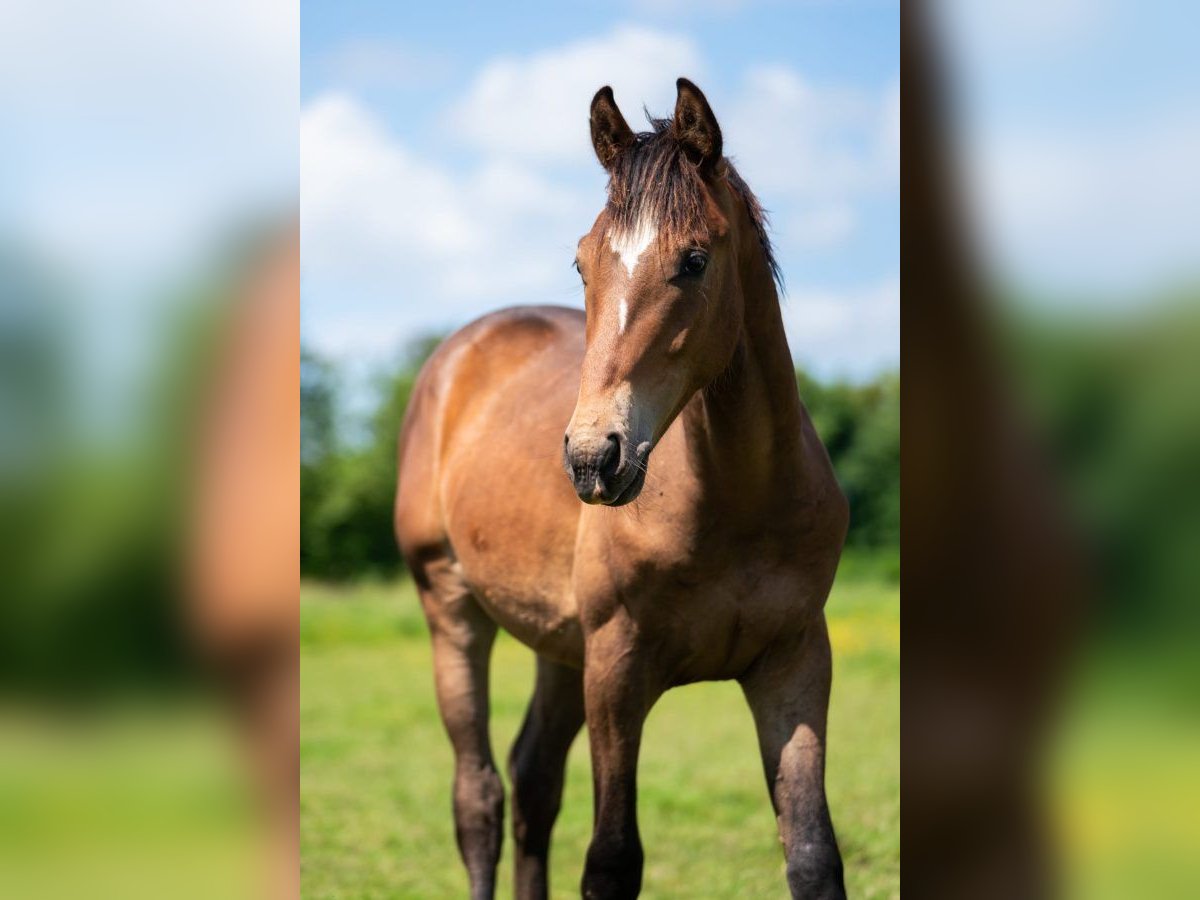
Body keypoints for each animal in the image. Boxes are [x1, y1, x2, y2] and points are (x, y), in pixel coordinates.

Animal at [398, 81, 849, 897]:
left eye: (695, 259)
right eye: (582, 264)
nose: (590, 458)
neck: (736, 506)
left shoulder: (795, 662)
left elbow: (811, 854)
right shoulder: (617, 667)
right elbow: (611, 859)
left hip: (558, 644)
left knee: (533, 780)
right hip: (451, 605)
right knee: (478, 796)